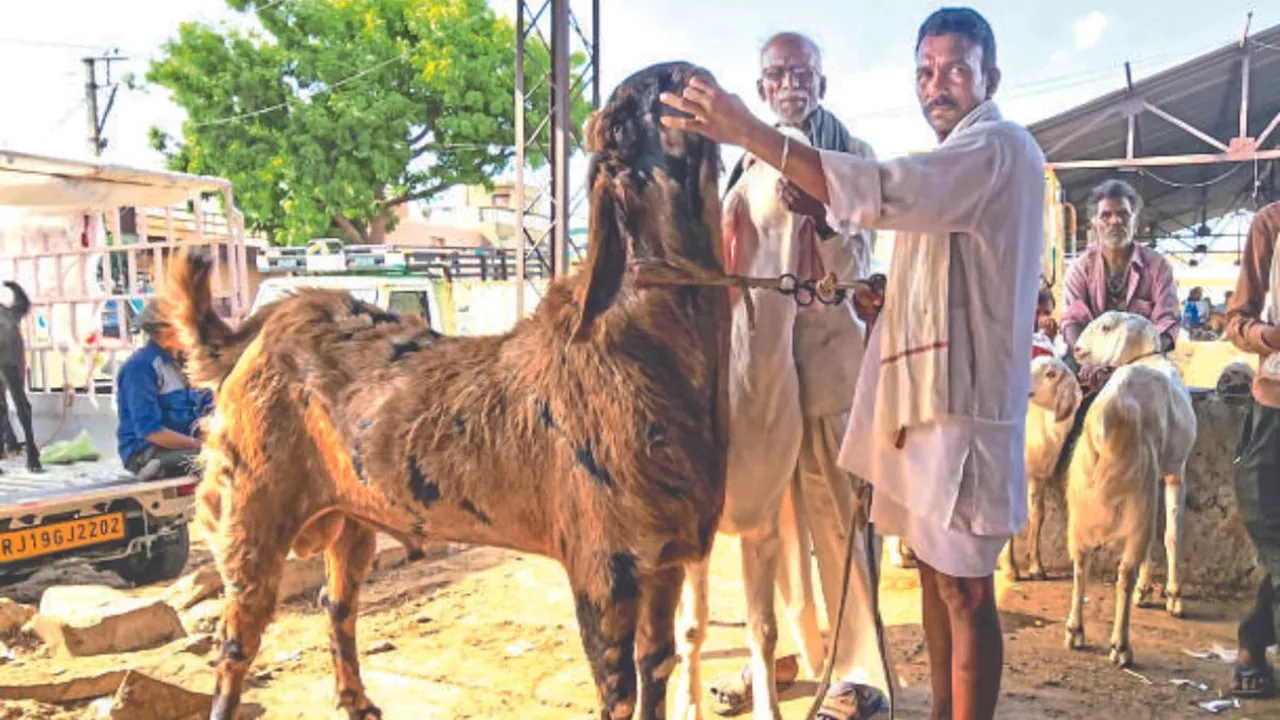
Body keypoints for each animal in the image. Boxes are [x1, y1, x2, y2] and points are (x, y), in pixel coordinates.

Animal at [157, 61, 732, 717]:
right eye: (647, 96)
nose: (688, 73)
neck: (642, 335)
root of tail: (258, 330)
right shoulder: (603, 568)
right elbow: (618, 691)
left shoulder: (667, 560)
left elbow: (655, 668)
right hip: (253, 510)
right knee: (237, 641)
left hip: (351, 516)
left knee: (337, 607)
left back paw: (357, 699)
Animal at [1064, 310, 1192, 666]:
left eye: (1106, 327)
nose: (1077, 349)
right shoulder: (1175, 469)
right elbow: (1172, 533)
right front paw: (1173, 596)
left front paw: (1147, 591)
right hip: (1137, 496)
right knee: (1124, 570)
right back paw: (1121, 646)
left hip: (1082, 499)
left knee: (1080, 563)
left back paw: (1075, 630)